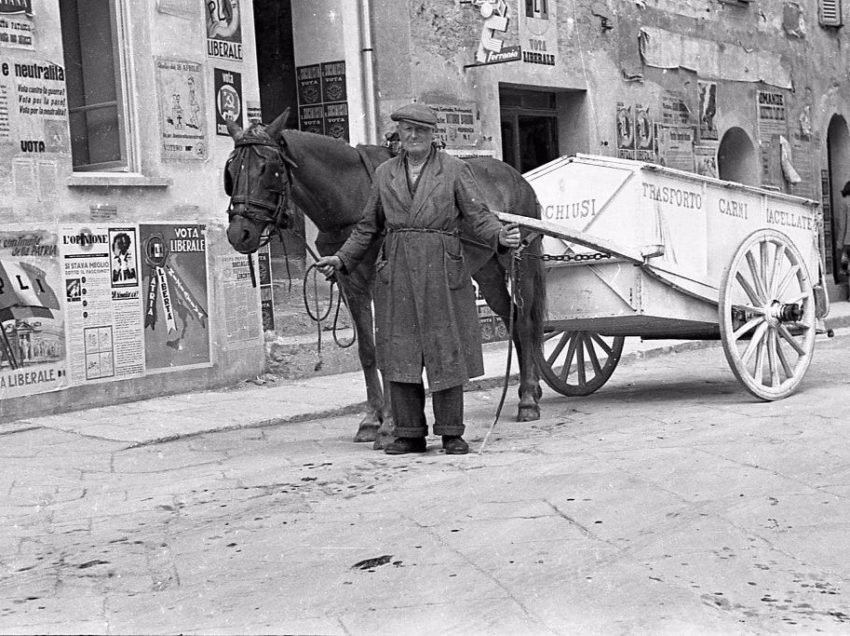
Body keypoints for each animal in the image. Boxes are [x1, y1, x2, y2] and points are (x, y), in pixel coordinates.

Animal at [225, 110, 544, 448]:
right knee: (512, 318)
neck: (350, 193)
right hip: (488, 271)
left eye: (268, 169)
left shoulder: (382, 283)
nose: (238, 233)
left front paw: (390, 425)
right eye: (231, 170)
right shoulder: (350, 284)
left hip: (520, 262)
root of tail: (517, 177)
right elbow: (367, 352)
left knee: (525, 321)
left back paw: (527, 400)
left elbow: (386, 351)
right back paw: (531, 389)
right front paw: (371, 420)